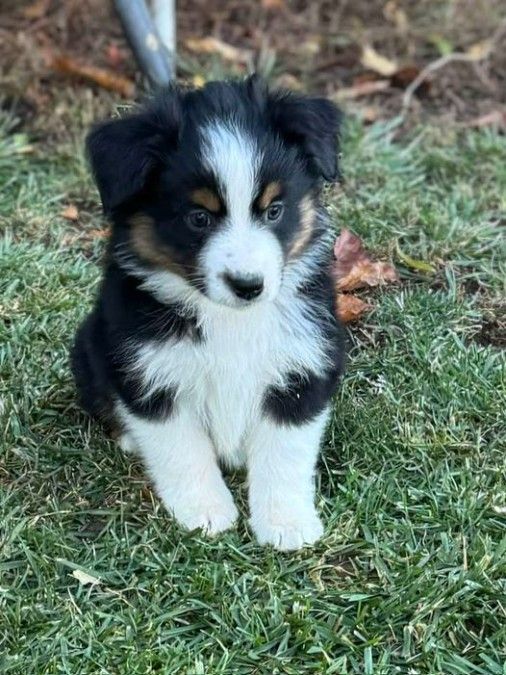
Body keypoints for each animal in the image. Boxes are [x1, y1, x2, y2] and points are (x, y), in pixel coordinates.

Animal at [71, 75, 346, 548]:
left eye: (274, 211)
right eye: (199, 218)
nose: (248, 285)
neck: (228, 318)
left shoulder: (303, 367)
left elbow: (285, 453)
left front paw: (286, 523)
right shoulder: (151, 377)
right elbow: (182, 450)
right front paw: (205, 513)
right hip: (89, 346)